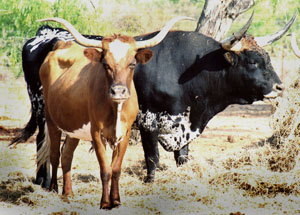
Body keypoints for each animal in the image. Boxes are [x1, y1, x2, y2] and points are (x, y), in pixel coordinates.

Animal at [11, 12, 296, 186]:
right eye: (252, 61)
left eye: (268, 58)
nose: (280, 86)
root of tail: (46, 34)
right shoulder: (149, 120)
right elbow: (153, 157)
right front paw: (151, 182)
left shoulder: (184, 125)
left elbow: (182, 157)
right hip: (42, 108)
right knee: (42, 140)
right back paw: (42, 181)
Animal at [34, 16, 191, 208]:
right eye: (105, 64)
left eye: (132, 64)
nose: (118, 92)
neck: (116, 108)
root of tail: (61, 44)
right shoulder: (96, 133)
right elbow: (105, 170)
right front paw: (104, 203)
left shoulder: (125, 133)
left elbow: (115, 169)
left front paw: (116, 201)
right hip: (51, 120)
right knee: (55, 154)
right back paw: (53, 189)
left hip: (73, 127)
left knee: (66, 156)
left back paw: (68, 193)